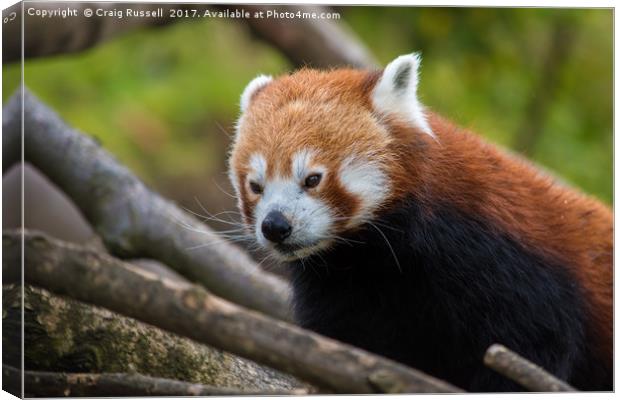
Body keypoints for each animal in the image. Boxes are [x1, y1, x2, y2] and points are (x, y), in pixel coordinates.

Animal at [226, 53, 612, 390]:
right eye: (255, 186)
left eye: (312, 179)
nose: (275, 226)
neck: (374, 257)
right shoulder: (341, 289)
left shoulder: (515, 273)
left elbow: (530, 349)